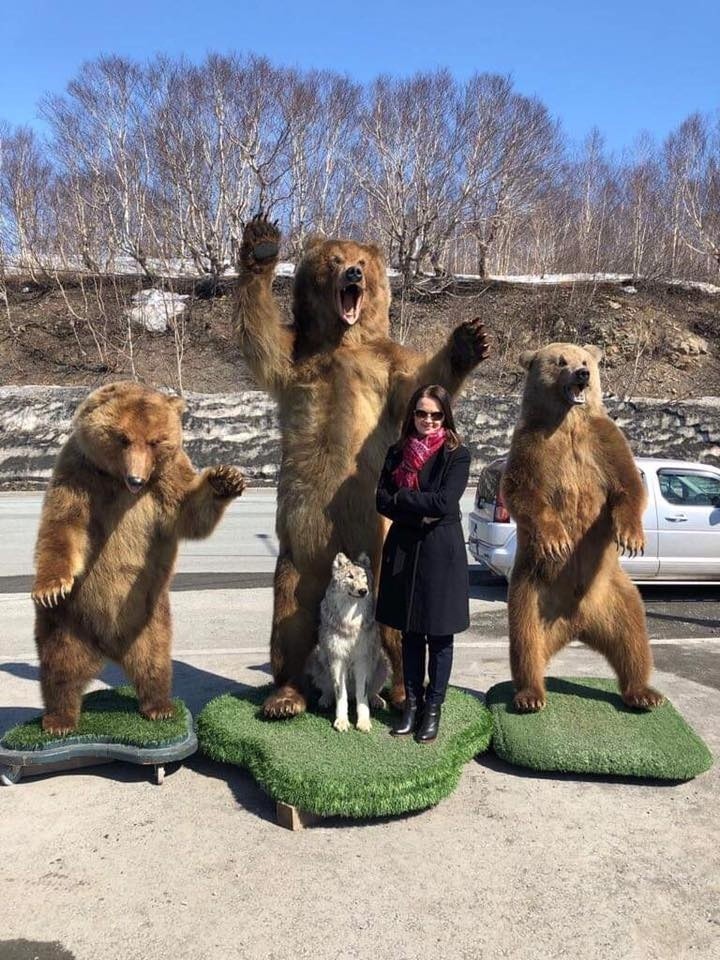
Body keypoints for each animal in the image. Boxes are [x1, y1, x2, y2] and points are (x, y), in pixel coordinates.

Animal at [31, 382, 245, 736]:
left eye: (155, 441)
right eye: (123, 438)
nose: (136, 479)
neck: (116, 481)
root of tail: (107, 648)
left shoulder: (167, 479)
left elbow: (190, 512)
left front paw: (226, 478)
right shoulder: (80, 473)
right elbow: (63, 525)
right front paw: (50, 587)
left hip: (149, 618)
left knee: (154, 663)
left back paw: (159, 707)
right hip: (68, 620)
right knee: (60, 667)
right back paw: (59, 720)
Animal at [236, 214, 490, 716]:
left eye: (361, 262)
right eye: (334, 259)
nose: (353, 272)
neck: (342, 340)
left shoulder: (386, 365)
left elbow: (419, 380)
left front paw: (468, 340)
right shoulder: (298, 355)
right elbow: (262, 339)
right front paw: (261, 245)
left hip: (379, 555)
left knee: (393, 628)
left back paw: (398, 691)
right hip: (299, 552)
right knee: (290, 618)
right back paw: (286, 696)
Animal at [500, 344, 664, 712]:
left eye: (585, 360)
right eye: (560, 361)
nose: (582, 374)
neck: (567, 422)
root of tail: (577, 624)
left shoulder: (603, 441)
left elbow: (628, 484)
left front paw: (631, 538)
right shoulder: (531, 445)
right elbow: (522, 492)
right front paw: (557, 541)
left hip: (617, 594)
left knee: (633, 639)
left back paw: (644, 692)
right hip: (531, 590)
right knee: (526, 642)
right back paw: (530, 695)